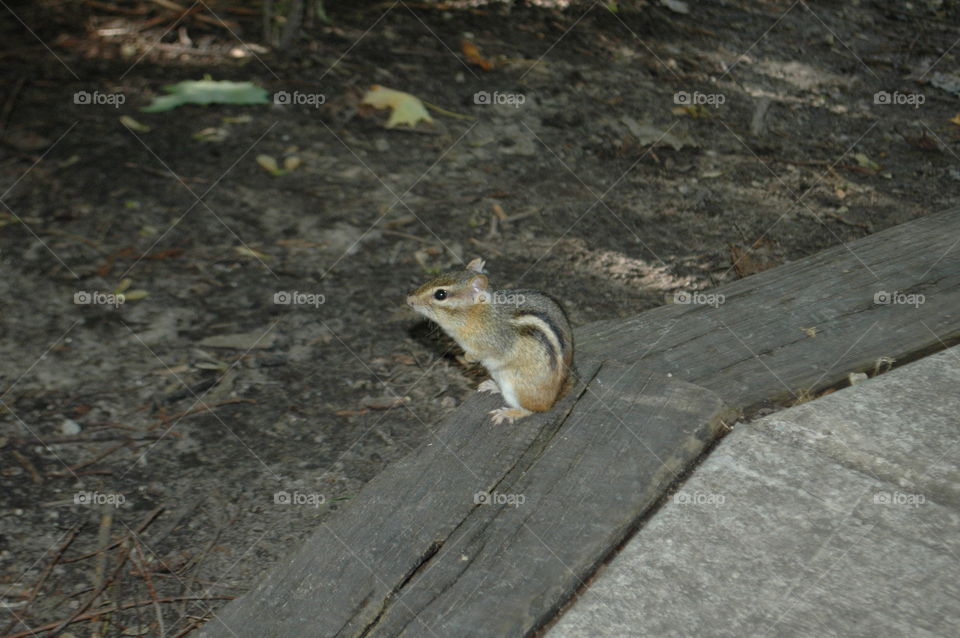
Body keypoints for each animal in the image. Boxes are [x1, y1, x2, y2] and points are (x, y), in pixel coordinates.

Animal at [407, 258, 574, 425]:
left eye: (441, 294)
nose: (409, 299)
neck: (478, 314)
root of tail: (554, 397)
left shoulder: (493, 343)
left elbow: (483, 352)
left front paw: (468, 357)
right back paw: (493, 386)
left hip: (517, 388)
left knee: (533, 409)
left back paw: (509, 413)